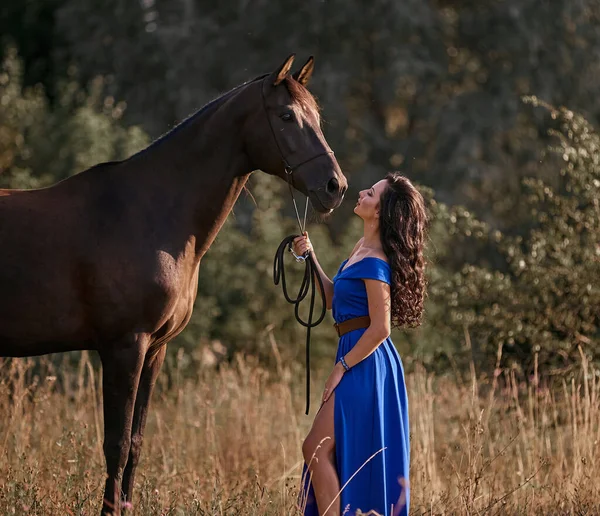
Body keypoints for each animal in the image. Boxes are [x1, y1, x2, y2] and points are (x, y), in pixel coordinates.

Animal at [0, 54, 346, 512]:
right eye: (287, 115)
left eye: (317, 116)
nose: (335, 186)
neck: (149, 213)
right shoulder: (124, 346)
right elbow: (115, 445)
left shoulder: (155, 349)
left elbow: (136, 442)